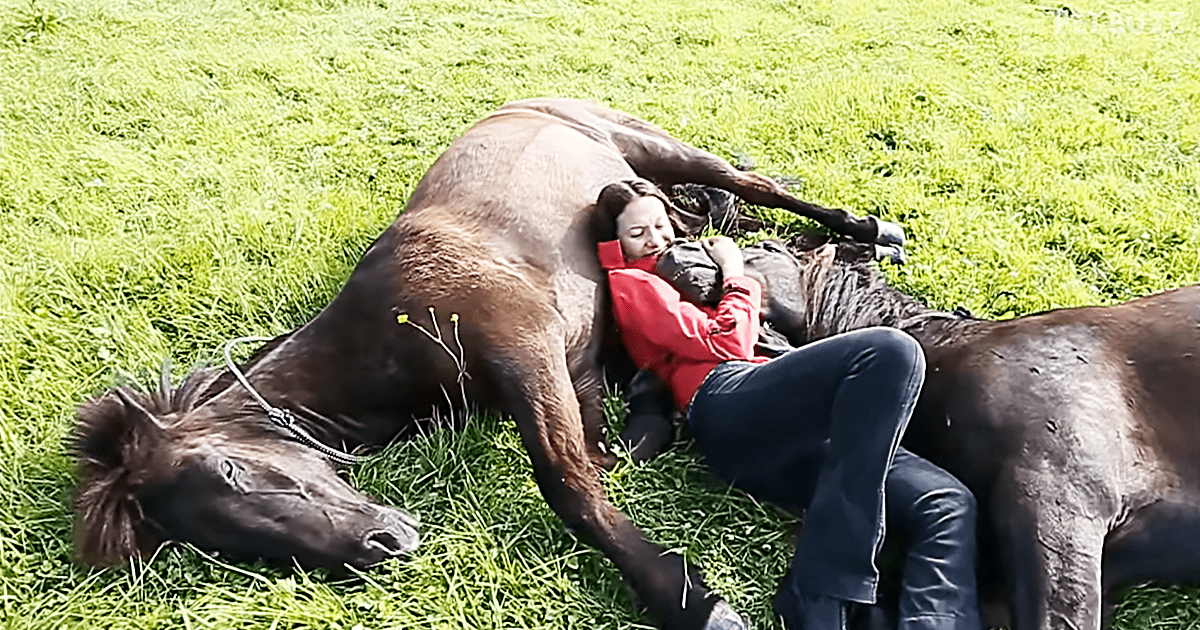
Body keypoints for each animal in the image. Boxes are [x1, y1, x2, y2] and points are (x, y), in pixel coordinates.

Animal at [71, 98, 906, 630]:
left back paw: (869, 228)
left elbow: (569, 484)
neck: (396, 331)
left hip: (659, 146)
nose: (382, 547)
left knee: (751, 184)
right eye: (206, 539)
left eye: (230, 472)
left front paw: (691, 600)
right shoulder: (572, 375)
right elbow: (606, 452)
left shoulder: (528, 355)